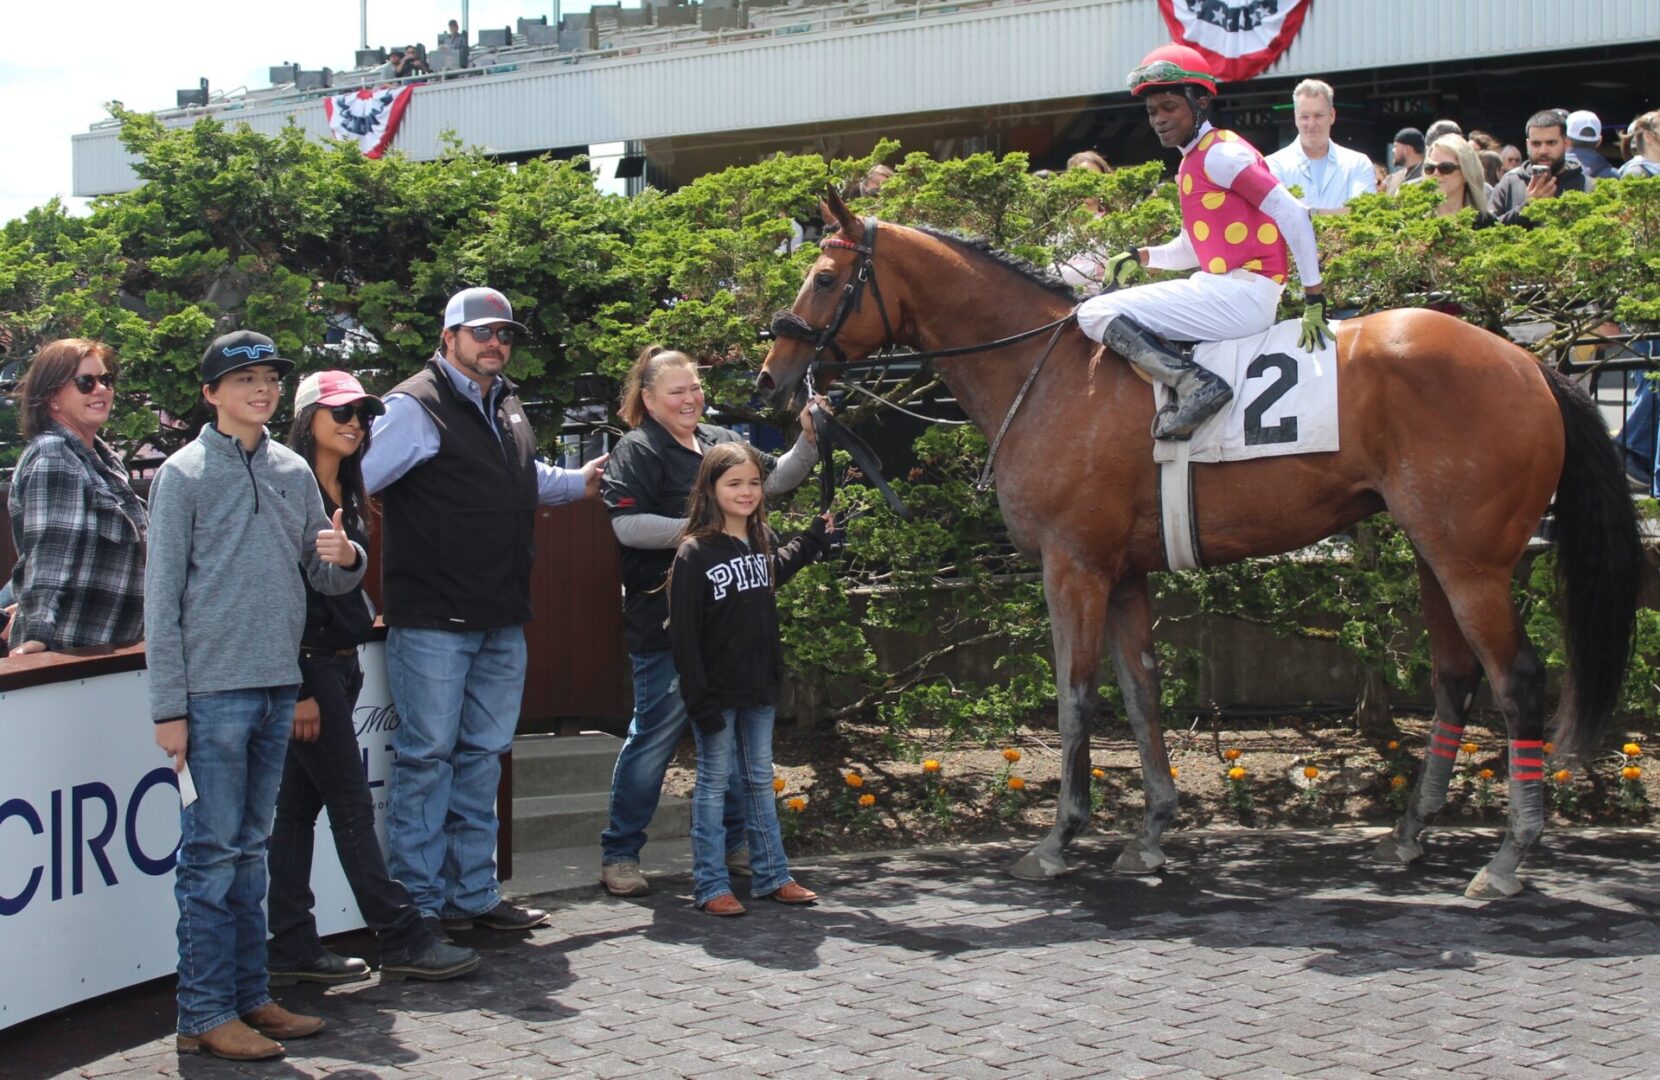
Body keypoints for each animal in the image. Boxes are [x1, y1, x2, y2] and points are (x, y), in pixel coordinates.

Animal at [758, 187, 1642, 900]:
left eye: (826, 279)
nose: (772, 376)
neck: (1047, 372)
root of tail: (1530, 365)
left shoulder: (1072, 565)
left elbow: (1076, 697)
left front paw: (1058, 841)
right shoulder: (1122, 574)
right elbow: (1141, 693)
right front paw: (1151, 833)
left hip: (1473, 560)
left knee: (1519, 680)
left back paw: (1508, 856)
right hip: (1435, 549)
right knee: (1455, 675)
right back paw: (1411, 833)